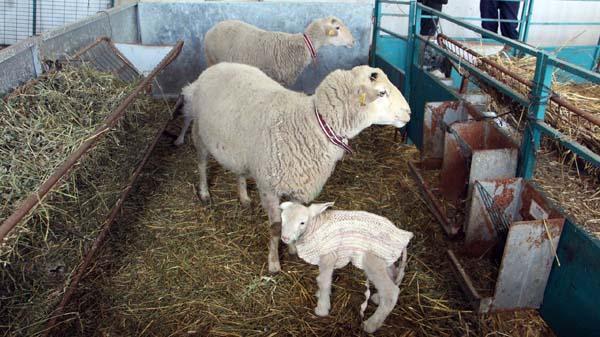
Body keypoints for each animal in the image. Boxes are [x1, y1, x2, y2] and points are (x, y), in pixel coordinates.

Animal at [172, 16, 356, 146]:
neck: (300, 46)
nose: (353, 42)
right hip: (211, 58)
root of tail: (213, 28)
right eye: (337, 28)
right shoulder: (275, 79)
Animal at [182, 61, 408, 272]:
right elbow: (275, 227)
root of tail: (216, 67)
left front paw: (292, 247)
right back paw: (204, 192)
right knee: (201, 163)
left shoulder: (299, 184)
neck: (310, 125)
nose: (409, 113)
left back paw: (244, 196)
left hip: (242, 151)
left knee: (240, 172)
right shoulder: (269, 187)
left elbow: (296, 215)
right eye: (382, 92)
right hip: (199, 132)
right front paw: (274, 262)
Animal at [280, 201, 412, 332]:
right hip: (385, 259)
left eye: (302, 222)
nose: (285, 238)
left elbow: (323, 280)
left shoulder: (329, 254)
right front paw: (320, 294)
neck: (315, 227)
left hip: (373, 260)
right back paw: (378, 298)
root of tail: (402, 236)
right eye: (282, 219)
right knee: (395, 274)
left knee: (391, 292)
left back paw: (371, 324)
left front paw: (322, 308)